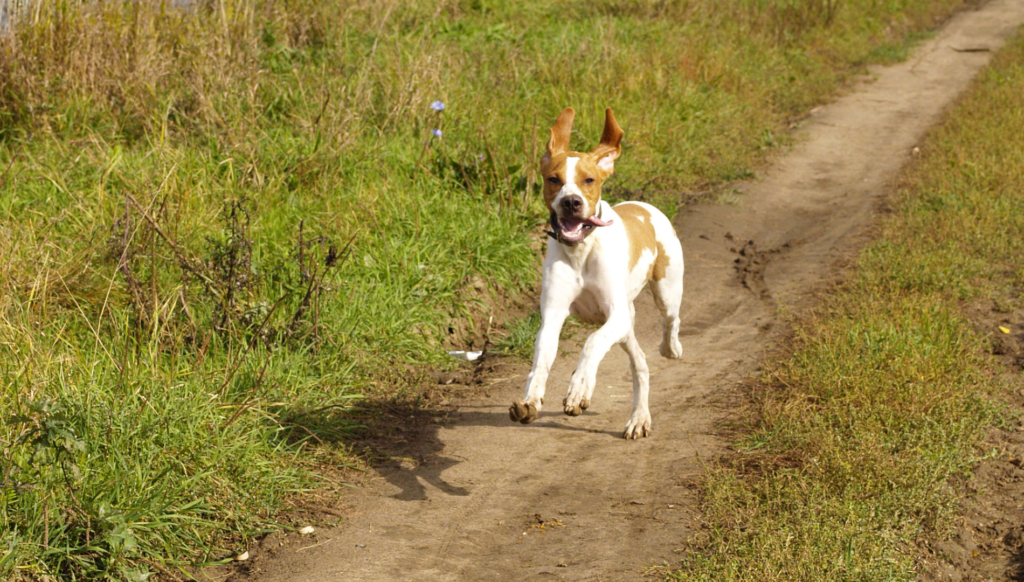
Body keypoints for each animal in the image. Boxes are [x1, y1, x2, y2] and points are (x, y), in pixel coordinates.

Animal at [507, 107, 684, 438]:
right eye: (553, 179)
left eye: (588, 180)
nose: (571, 202)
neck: (581, 251)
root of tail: (645, 206)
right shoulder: (553, 315)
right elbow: (541, 361)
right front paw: (530, 401)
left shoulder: (616, 314)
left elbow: (591, 344)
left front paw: (577, 388)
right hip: (625, 327)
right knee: (640, 364)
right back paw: (637, 415)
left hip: (663, 291)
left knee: (669, 322)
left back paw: (668, 354)